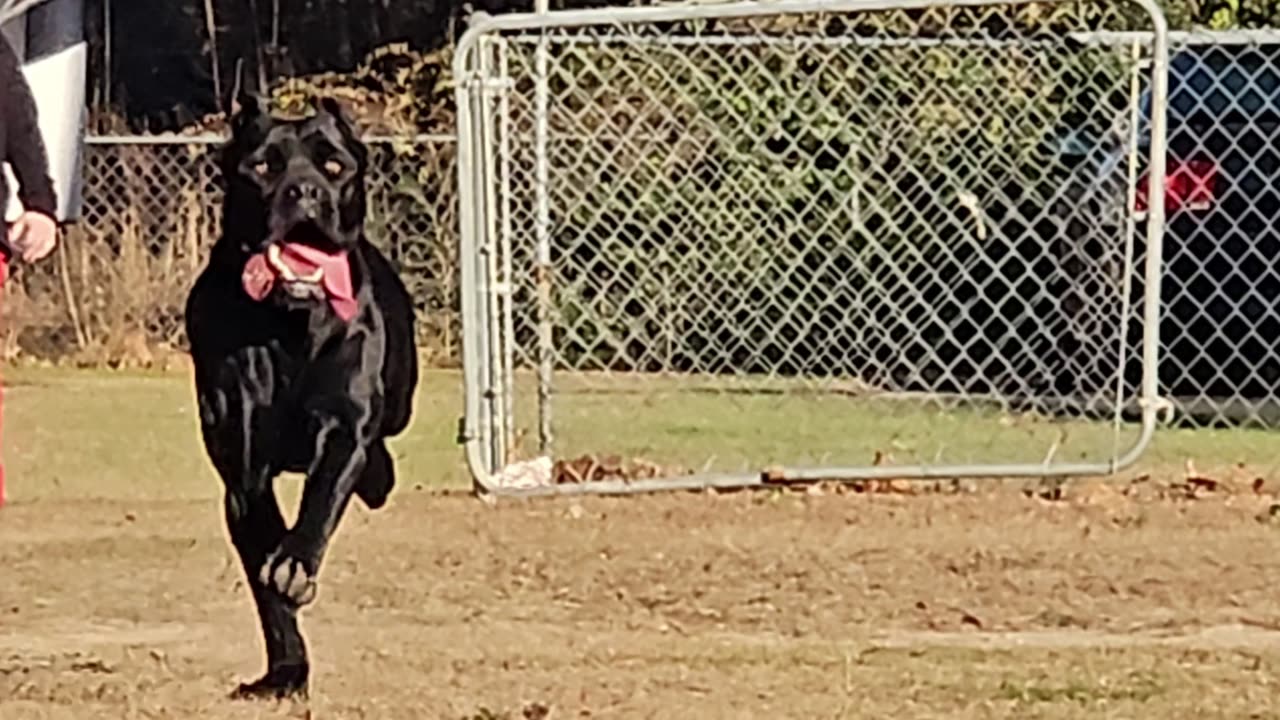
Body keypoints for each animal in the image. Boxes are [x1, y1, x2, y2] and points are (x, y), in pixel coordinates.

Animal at [185, 87, 419, 696]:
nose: (304, 192)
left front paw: (295, 562)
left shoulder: (346, 423)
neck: (289, 325)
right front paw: (286, 669)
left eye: (333, 167)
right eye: (263, 167)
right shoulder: (243, 463)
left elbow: (325, 491)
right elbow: (263, 563)